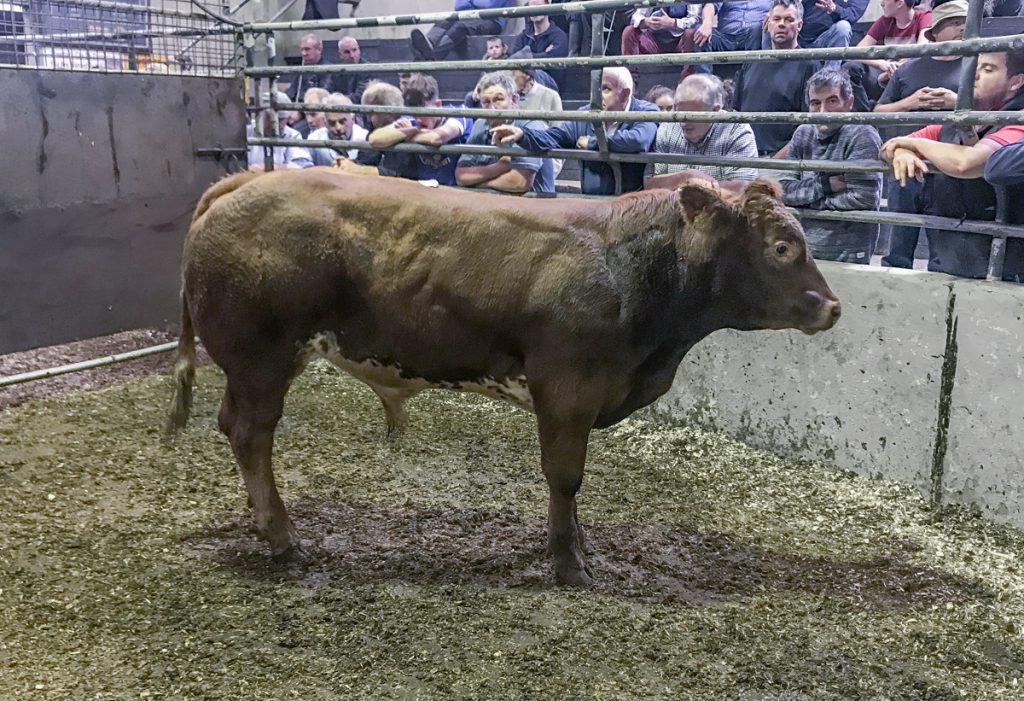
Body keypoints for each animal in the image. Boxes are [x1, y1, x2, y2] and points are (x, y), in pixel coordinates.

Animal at [166, 169, 840, 586]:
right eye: (782, 247)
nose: (832, 307)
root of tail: (250, 180)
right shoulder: (566, 391)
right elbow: (565, 479)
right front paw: (569, 564)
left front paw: (578, 547)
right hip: (261, 358)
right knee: (251, 434)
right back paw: (284, 539)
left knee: (236, 429)